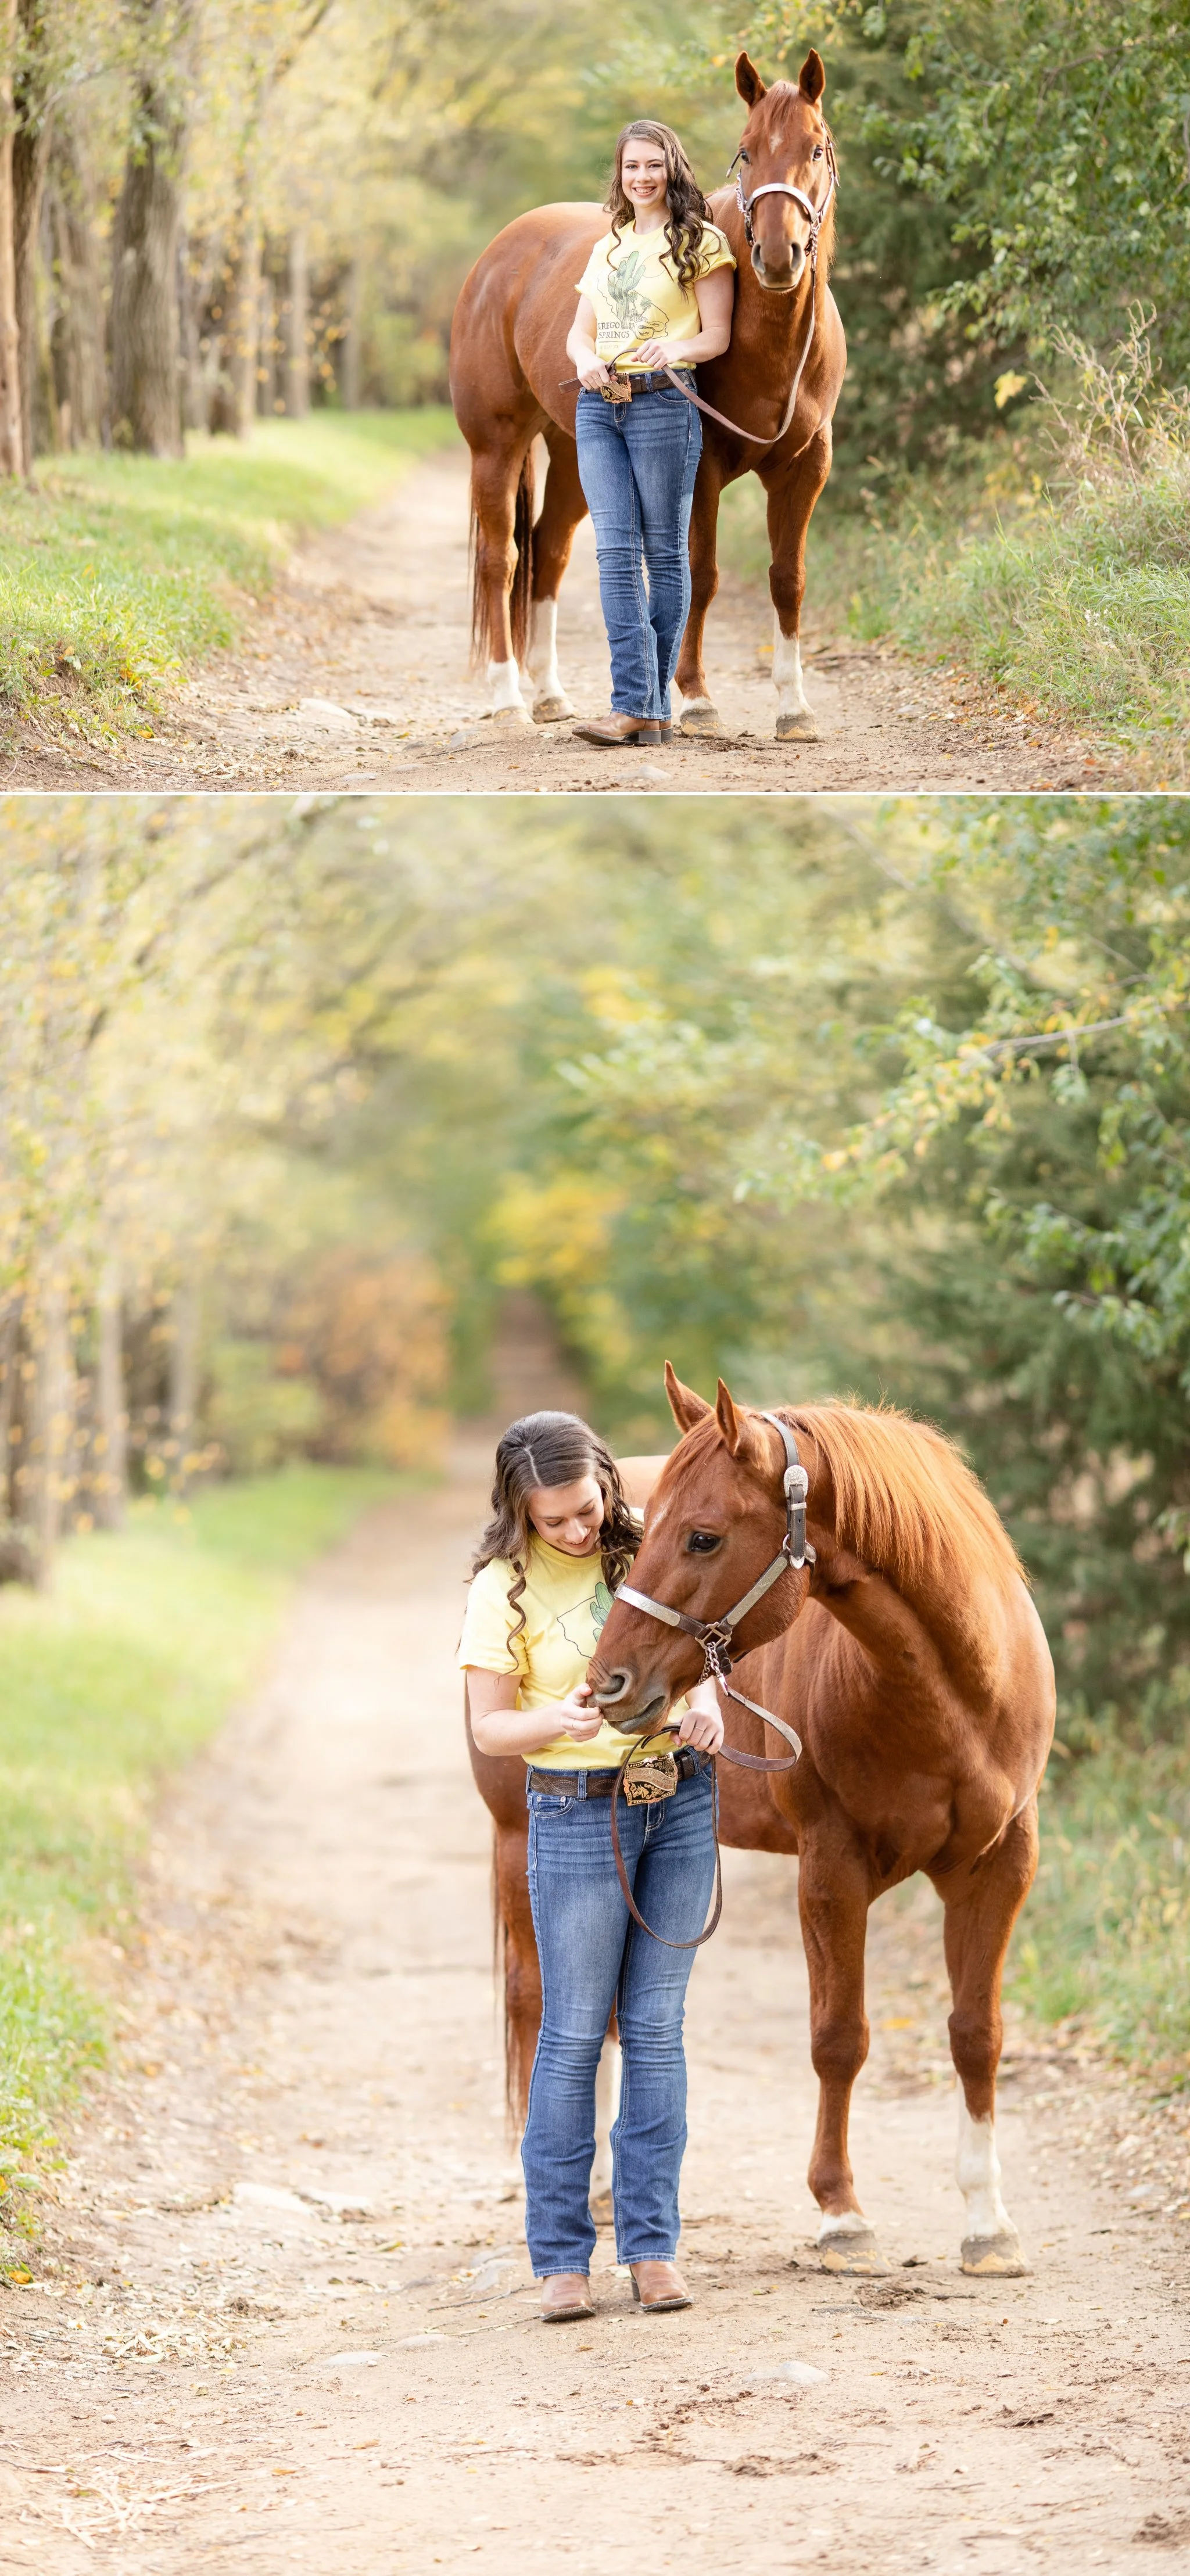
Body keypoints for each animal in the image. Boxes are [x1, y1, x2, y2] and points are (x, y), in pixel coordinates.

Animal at [449, 47, 847, 742]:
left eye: (816, 148)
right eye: (746, 151)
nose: (778, 256)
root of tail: (498, 256)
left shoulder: (806, 466)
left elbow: (788, 579)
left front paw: (794, 707)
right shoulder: (702, 466)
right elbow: (701, 573)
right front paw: (696, 700)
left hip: (574, 456)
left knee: (548, 552)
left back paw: (550, 695)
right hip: (495, 447)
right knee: (502, 560)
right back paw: (508, 699)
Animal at [469, 1367, 1055, 2279]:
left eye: (702, 1538)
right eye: (643, 1532)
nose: (609, 1682)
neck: (958, 1696)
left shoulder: (1000, 1865)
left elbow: (976, 2035)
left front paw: (988, 2223)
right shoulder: (831, 1867)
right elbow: (839, 2037)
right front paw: (842, 2215)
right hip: (515, 1841)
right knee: (541, 2002)